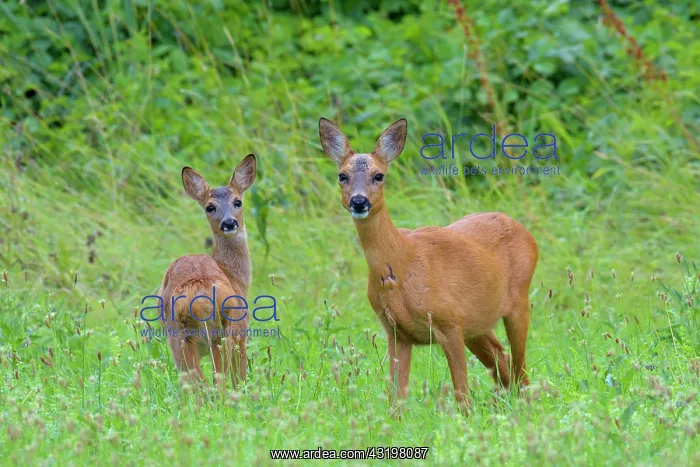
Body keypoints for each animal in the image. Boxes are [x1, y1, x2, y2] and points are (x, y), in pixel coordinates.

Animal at [158, 154, 256, 389]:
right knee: (213, 383)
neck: (232, 275)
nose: (229, 222)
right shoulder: (242, 332)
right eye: (209, 207)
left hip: (185, 338)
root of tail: (199, 292)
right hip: (215, 333)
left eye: (237, 201)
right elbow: (240, 377)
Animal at [318, 118, 539, 409]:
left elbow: (462, 395)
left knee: (519, 367)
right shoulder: (396, 332)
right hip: (477, 324)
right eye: (342, 176)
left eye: (379, 175)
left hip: (517, 303)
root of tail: (527, 234)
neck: (403, 266)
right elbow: (396, 400)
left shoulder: (450, 322)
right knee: (502, 360)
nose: (359, 201)